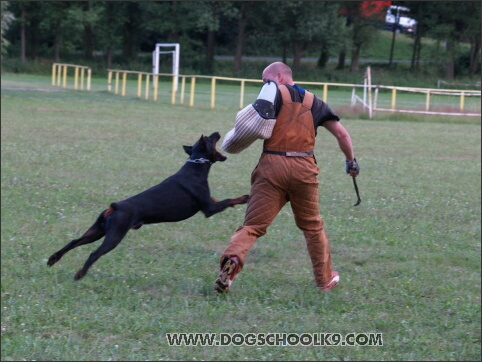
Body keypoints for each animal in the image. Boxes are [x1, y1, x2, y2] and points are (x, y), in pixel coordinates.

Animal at [47, 132, 250, 280]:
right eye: (209, 138)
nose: (217, 132)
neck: (196, 166)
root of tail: (115, 206)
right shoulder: (209, 209)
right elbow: (229, 200)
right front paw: (245, 197)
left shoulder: (211, 201)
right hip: (114, 235)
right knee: (94, 253)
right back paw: (80, 274)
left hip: (97, 230)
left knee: (74, 241)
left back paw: (53, 259)